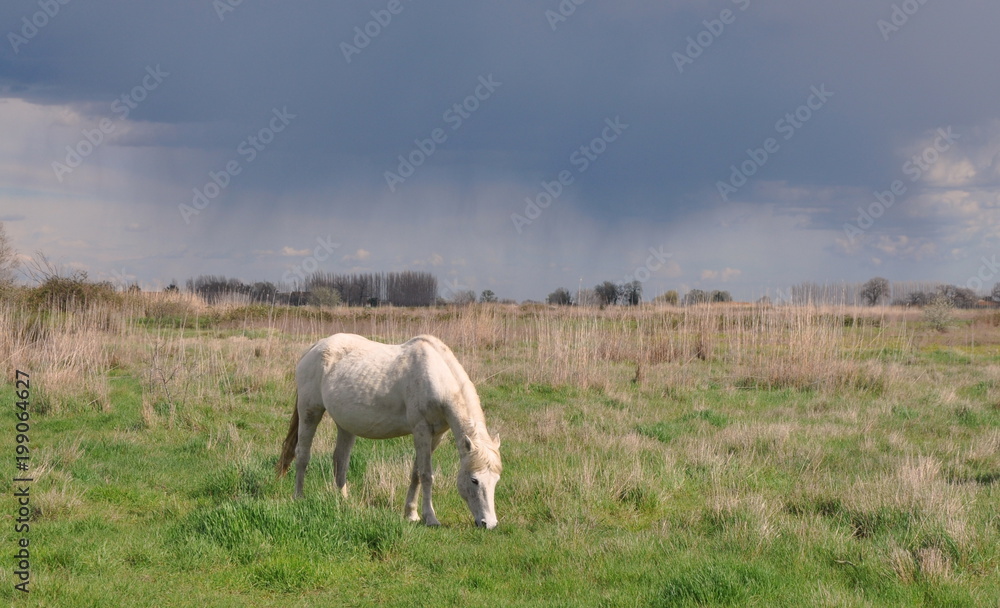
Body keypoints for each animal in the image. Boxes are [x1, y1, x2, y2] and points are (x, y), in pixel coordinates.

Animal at [276, 333, 502, 528]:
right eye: (474, 480)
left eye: (496, 481)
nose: (489, 524)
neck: (436, 377)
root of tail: (314, 347)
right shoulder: (421, 430)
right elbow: (426, 474)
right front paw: (430, 518)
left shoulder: (436, 435)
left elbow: (415, 473)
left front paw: (411, 513)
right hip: (309, 411)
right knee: (303, 454)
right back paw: (299, 497)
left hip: (345, 423)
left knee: (340, 460)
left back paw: (343, 501)